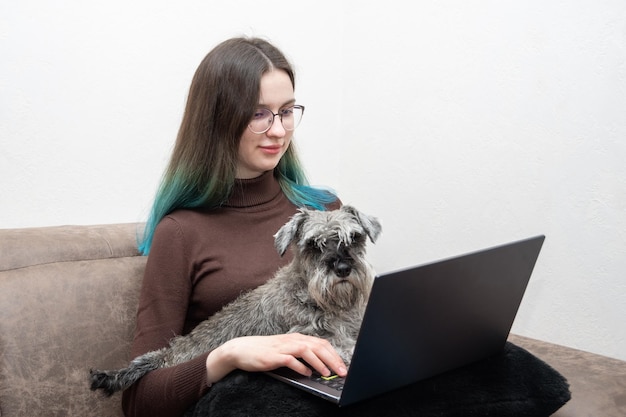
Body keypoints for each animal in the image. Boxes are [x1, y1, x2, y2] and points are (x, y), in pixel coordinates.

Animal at [88, 206, 380, 394]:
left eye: (355, 237)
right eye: (313, 244)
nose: (342, 268)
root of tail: (167, 355)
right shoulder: (312, 336)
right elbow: (344, 348)